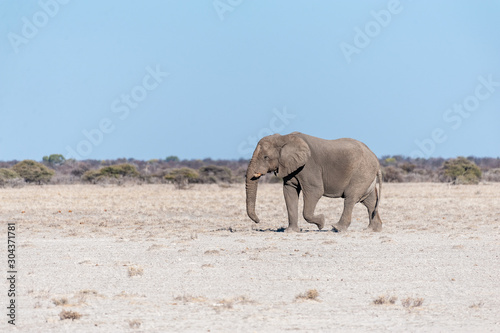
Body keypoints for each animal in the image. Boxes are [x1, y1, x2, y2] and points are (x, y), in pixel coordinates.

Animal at [246, 132, 382, 231]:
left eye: (265, 157)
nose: (258, 221)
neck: (284, 138)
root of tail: (376, 158)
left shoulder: (309, 167)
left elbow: (315, 191)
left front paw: (321, 222)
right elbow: (289, 192)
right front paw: (290, 231)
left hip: (361, 172)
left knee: (350, 198)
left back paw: (336, 228)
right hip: (366, 175)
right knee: (370, 201)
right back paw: (373, 229)